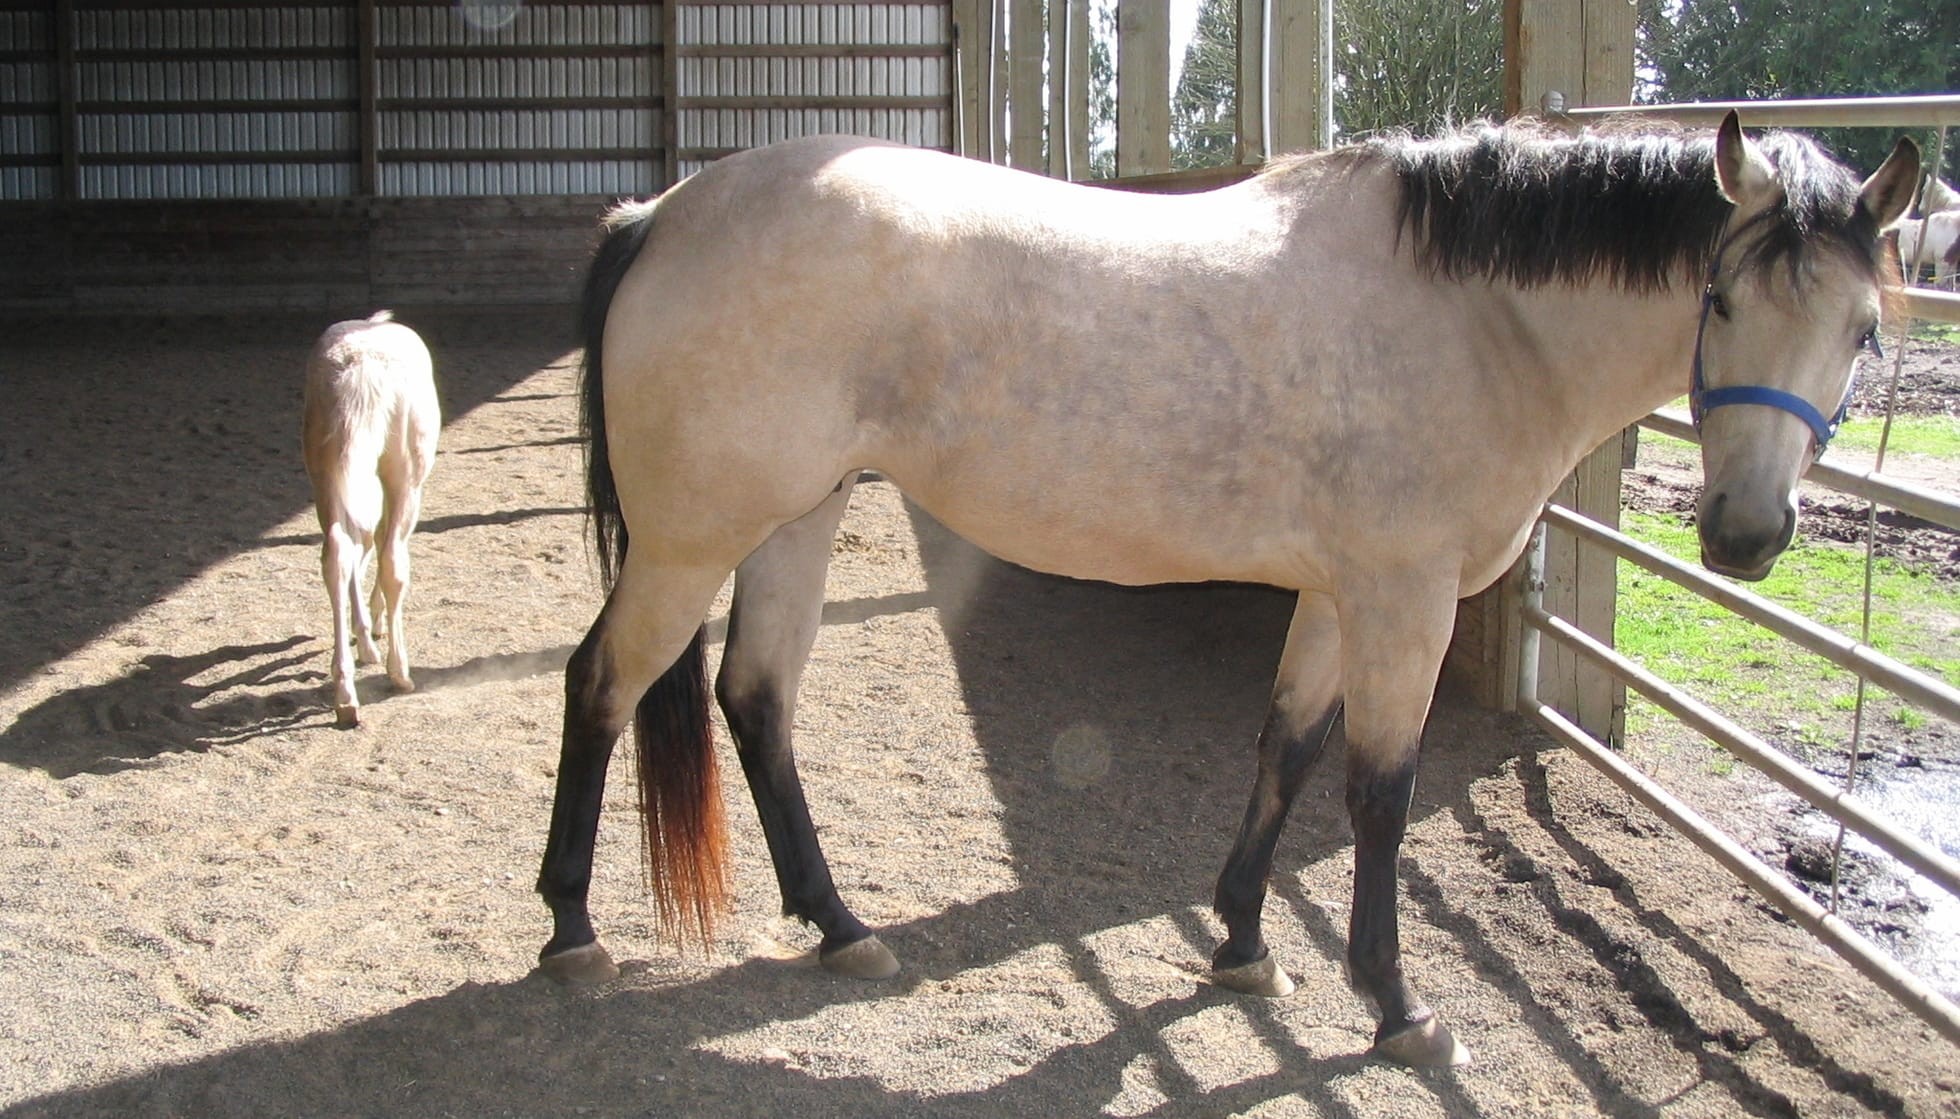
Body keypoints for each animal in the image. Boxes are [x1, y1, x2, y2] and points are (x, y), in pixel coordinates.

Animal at [301, 311, 440, 728]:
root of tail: (361, 363)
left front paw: (366, 635)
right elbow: (386, 551)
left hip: (326, 477)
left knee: (337, 552)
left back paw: (346, 692)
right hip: (405, 480)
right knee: (391, 560)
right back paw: (399, 673)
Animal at [535, 113, 1917, 1066]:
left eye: (1862, 330)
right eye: (1719, 297)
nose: (1744, 537)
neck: (1474, 318)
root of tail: (663, 213)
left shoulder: (1340, 595)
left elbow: (1286, 748)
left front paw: (1244, 946)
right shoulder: (1404, 600)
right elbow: (1379, 794)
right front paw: (1396, 1006)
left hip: (794, 521)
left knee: (755, 699)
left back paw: (837, 925)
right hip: (692, 541)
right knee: (601, 685)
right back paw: (573, 933)